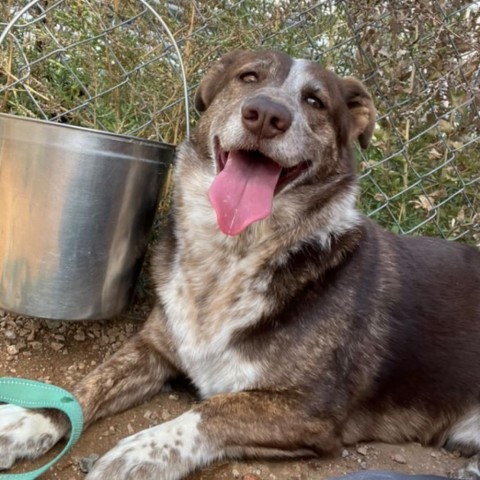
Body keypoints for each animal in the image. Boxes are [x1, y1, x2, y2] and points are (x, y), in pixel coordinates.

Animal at [0, 50, 480, 478]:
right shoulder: (153, 346)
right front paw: (29, 421)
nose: (266, 114)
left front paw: (141, 452)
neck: (232, 256)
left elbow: (212, 410)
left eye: (315, 101)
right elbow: (83, 388)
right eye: (248, 77)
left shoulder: (309, 412)